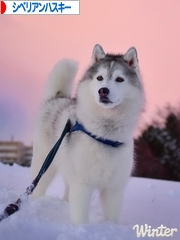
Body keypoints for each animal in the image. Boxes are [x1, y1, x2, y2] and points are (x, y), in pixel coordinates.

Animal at [31, 44, 145, 224]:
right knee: (37, 188)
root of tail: (57, 99)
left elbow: (112, 217)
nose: (103, 91)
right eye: (99, 78)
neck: (105, 136)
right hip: (45, 167)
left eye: (120, 79)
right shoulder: (82, 185)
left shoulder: (114, 189)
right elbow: (80, 217)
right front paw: (80, 228)